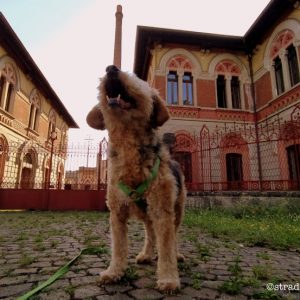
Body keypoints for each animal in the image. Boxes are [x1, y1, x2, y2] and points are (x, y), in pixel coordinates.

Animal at [86, 65, 185, 290]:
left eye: (137, 78)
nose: (111, 69)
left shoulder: (162, 210)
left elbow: (167, 246)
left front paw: (168, 278)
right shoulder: (117, 213)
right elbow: (118, 247)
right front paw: (114, 272)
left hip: (177, 210)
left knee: (173, 235)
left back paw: (176, 255)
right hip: (147, 215)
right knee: (150, 234)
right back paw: (146, 254)